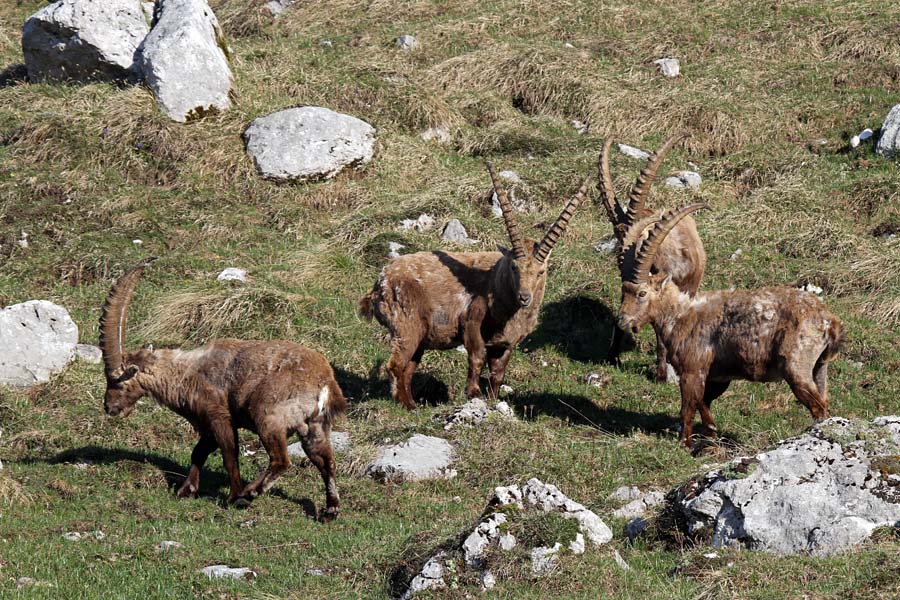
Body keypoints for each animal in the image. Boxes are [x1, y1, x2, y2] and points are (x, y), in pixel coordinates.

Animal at [99, 259, 346, 520]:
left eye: (117, 381)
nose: (109, 407)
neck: (186, 373)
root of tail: (325, 382)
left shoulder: (219, 416)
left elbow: (229, 454)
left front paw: (233, 495)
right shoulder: (207, 425)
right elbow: (199, 452)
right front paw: (186, 490)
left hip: (269, 418)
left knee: (281, 460)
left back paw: (249, 494)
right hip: (315, 425)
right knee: (326, 461)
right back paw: (330, 509)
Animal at [359, 164, 589, 408]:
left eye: (541, 271)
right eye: (514, 267)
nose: (524, 297)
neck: (497, 285)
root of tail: (379, 284)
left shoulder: (505, 343)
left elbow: (498, 372)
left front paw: (493, 400)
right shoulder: (471, 322)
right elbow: (477, 356)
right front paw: (474, 393)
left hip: (419, 337)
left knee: (408, 368)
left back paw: (412, 403)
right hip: (407, 327)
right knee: (395, 365)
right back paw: (409, 406)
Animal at [616, 205, 844, 449]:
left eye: (642, 293)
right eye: (624, 290)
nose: (622, 320)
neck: (681, 315)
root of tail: (829, 322)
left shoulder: (692, 370)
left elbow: (688, 408)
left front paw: (685, 445)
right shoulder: (719, 376)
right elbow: (704, 402)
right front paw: (711, 433)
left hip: (797, 367)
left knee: (818, 407)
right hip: (819, 367)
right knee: (824, 401)